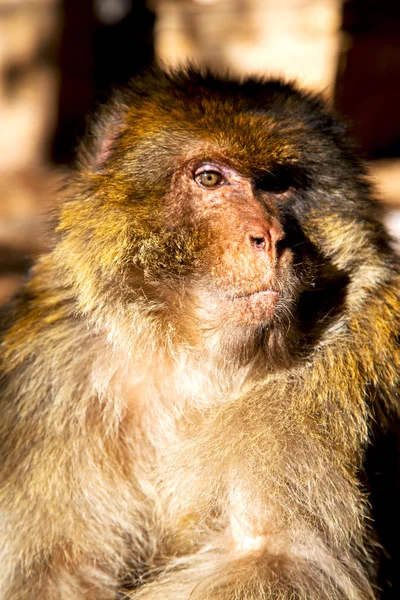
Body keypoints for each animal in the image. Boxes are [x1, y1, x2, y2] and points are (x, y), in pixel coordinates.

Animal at [0, 67, 398, 600]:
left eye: (277, 185)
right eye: (210, 178)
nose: (271, 239)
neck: (193, 359)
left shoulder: (325, 387)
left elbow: (279, 559)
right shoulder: (49, 372)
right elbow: (55, 567)